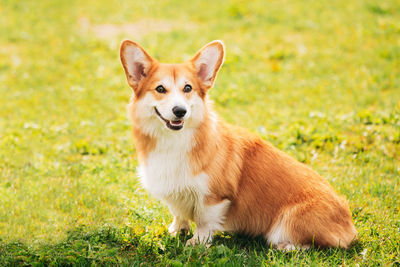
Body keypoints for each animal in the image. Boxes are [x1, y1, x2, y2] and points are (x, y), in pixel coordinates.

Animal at [118, 40, 356, 251]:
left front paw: (196, 243)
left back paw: (286, 246)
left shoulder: (214, 198)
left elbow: (204, 222)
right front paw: (177, 230)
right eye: (160, 89)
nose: (180, 111)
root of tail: (350, 226)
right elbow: (178, 213)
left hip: (286, 222)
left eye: (188, 88)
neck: (173, 141)